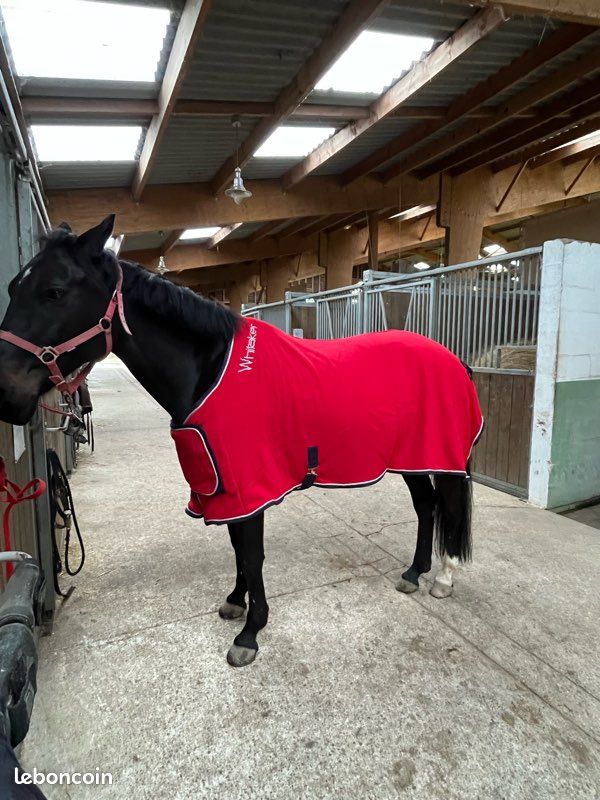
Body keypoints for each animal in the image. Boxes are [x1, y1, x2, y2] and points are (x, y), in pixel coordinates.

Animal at [0, 215, 482, 670]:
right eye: (13, 287)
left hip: (438, 458)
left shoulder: (250, 486)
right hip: (412, 460)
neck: (210, 370)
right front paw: (236, 602)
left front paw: (251, 632)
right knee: (426, 507)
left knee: (445, 506)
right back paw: (414, 572)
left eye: (54, 291)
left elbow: (251, 554)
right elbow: (236, 548)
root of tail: (453, 358)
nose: (7, 394)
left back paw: (443, 578)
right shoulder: (226, 487)